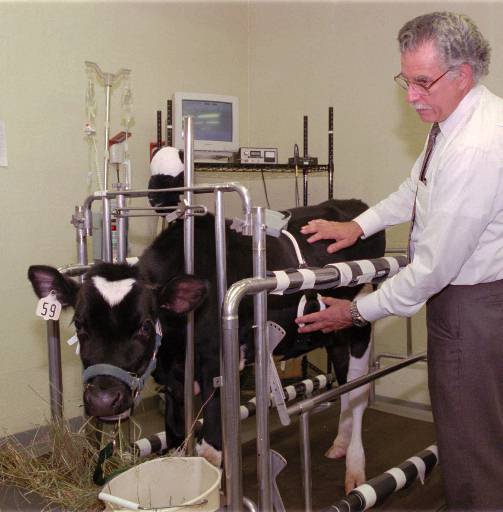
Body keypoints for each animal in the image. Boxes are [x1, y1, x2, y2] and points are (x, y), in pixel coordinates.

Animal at [28, 197, 386, 492]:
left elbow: (210, 452)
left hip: (358, 325)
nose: (103, 400)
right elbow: (176, 442)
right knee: (344, 386)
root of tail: (352, 204)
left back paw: (355, 469)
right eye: (80, 324)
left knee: (357, 393)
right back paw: (339, 444)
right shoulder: (173, 381)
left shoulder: (216, 367)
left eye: (145, 325)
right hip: (334, 337)